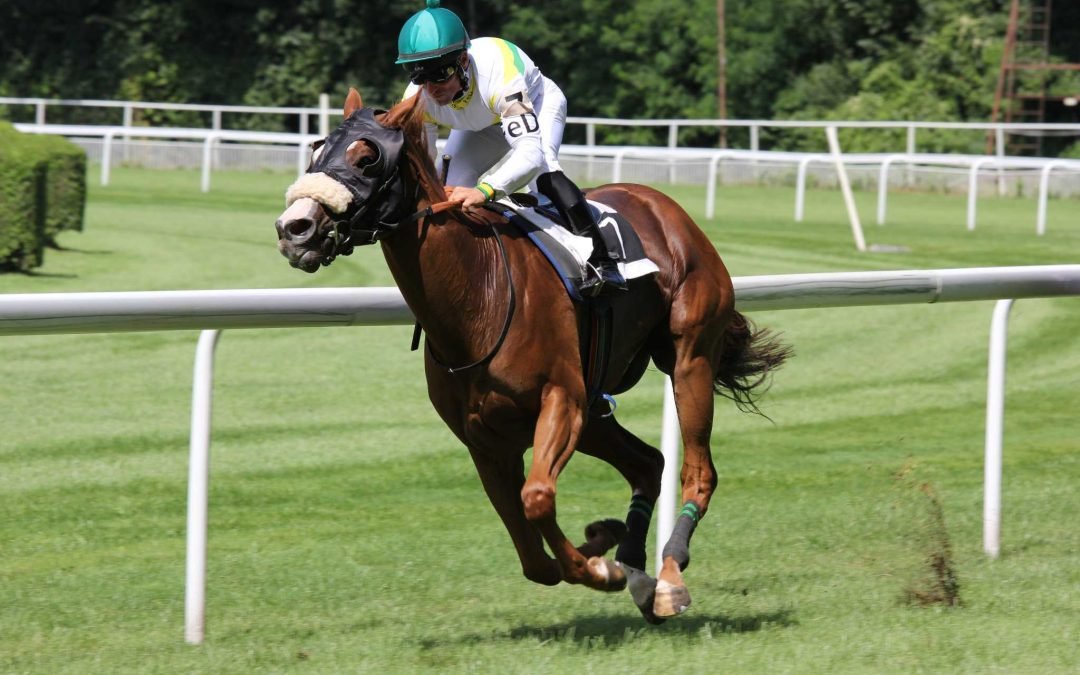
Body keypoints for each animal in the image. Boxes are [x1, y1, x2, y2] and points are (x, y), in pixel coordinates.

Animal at [275, 88, 790, 623]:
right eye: (316, 151)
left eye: (367, 157)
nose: (295, 228)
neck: (477, 295)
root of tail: (665, 206)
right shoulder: (484, 439)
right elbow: (531, 554)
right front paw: (604, 546)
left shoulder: (561, 400)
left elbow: (537, 499)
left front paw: (600, 567)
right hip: (596, 409)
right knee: (648, 463)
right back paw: (635, 567)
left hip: (689, 358)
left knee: (698, 471)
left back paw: (668, 577)